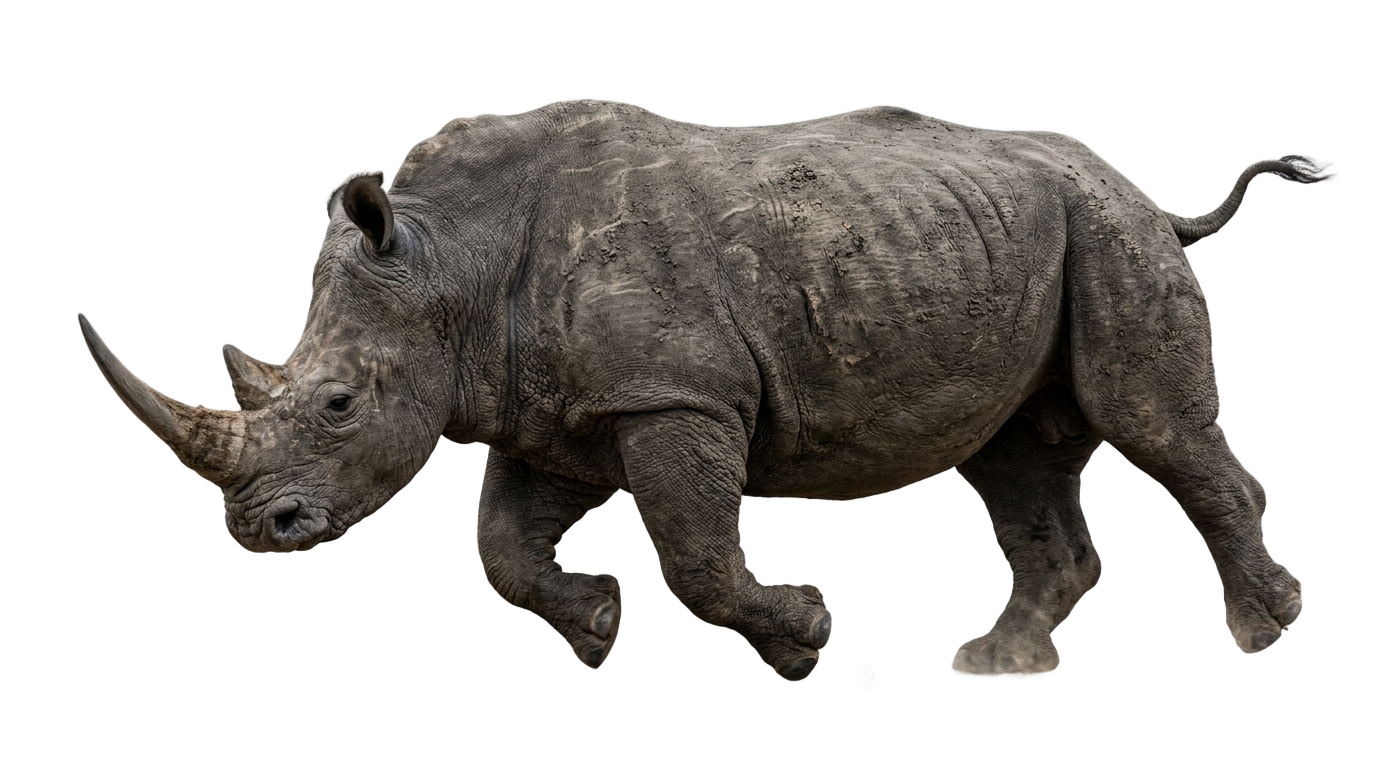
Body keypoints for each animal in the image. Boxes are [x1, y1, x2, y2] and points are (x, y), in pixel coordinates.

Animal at [79, 101, 1324, 678]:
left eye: (337, 403)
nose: (260, 530)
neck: (449, 261)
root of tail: (1134, 181)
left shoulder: (671, 393)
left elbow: (693, 554)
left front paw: (820, 632)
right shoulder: (554, 414)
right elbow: (503, 549)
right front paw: (595, 627)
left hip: (1103, 233)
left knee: (1148, 425)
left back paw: (1269, 643)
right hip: (1024, 238)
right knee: (1013, 458)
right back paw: (999, 671)